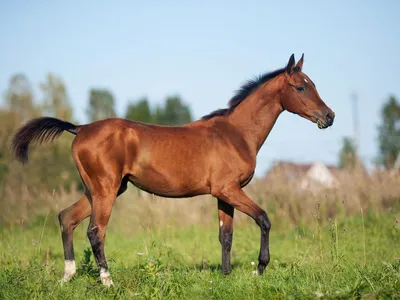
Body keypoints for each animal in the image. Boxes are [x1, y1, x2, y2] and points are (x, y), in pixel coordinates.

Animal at [10, 54, 334, 286]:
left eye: (314, 84)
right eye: (301, 86)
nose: (329, 116)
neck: (235, 133)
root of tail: (79, 128)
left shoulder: (224, 194)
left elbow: (226, 235)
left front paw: (226, 277)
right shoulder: (230, 190)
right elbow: (264, 219)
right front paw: (260, 269)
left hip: (98, 190)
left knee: (67, 218)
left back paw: (67, 276)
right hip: (106, 190)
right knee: (95, 231)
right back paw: (107, 281)